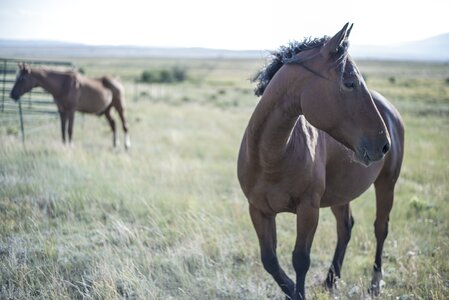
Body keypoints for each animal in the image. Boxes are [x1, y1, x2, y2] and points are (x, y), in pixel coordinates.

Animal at [236, 22, 404, 298]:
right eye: (349, 83)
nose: (384, 145)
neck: (271, 158)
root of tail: (391, 111)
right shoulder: (258, 210)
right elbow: (270, 260)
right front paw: (293, 290)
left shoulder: (308, 209)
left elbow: (300, 259)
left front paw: (299, 292)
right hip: (341, 194)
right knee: (345, 227)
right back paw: (330, 281)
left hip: (386, 184)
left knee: (381, 228)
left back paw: (375, 284)